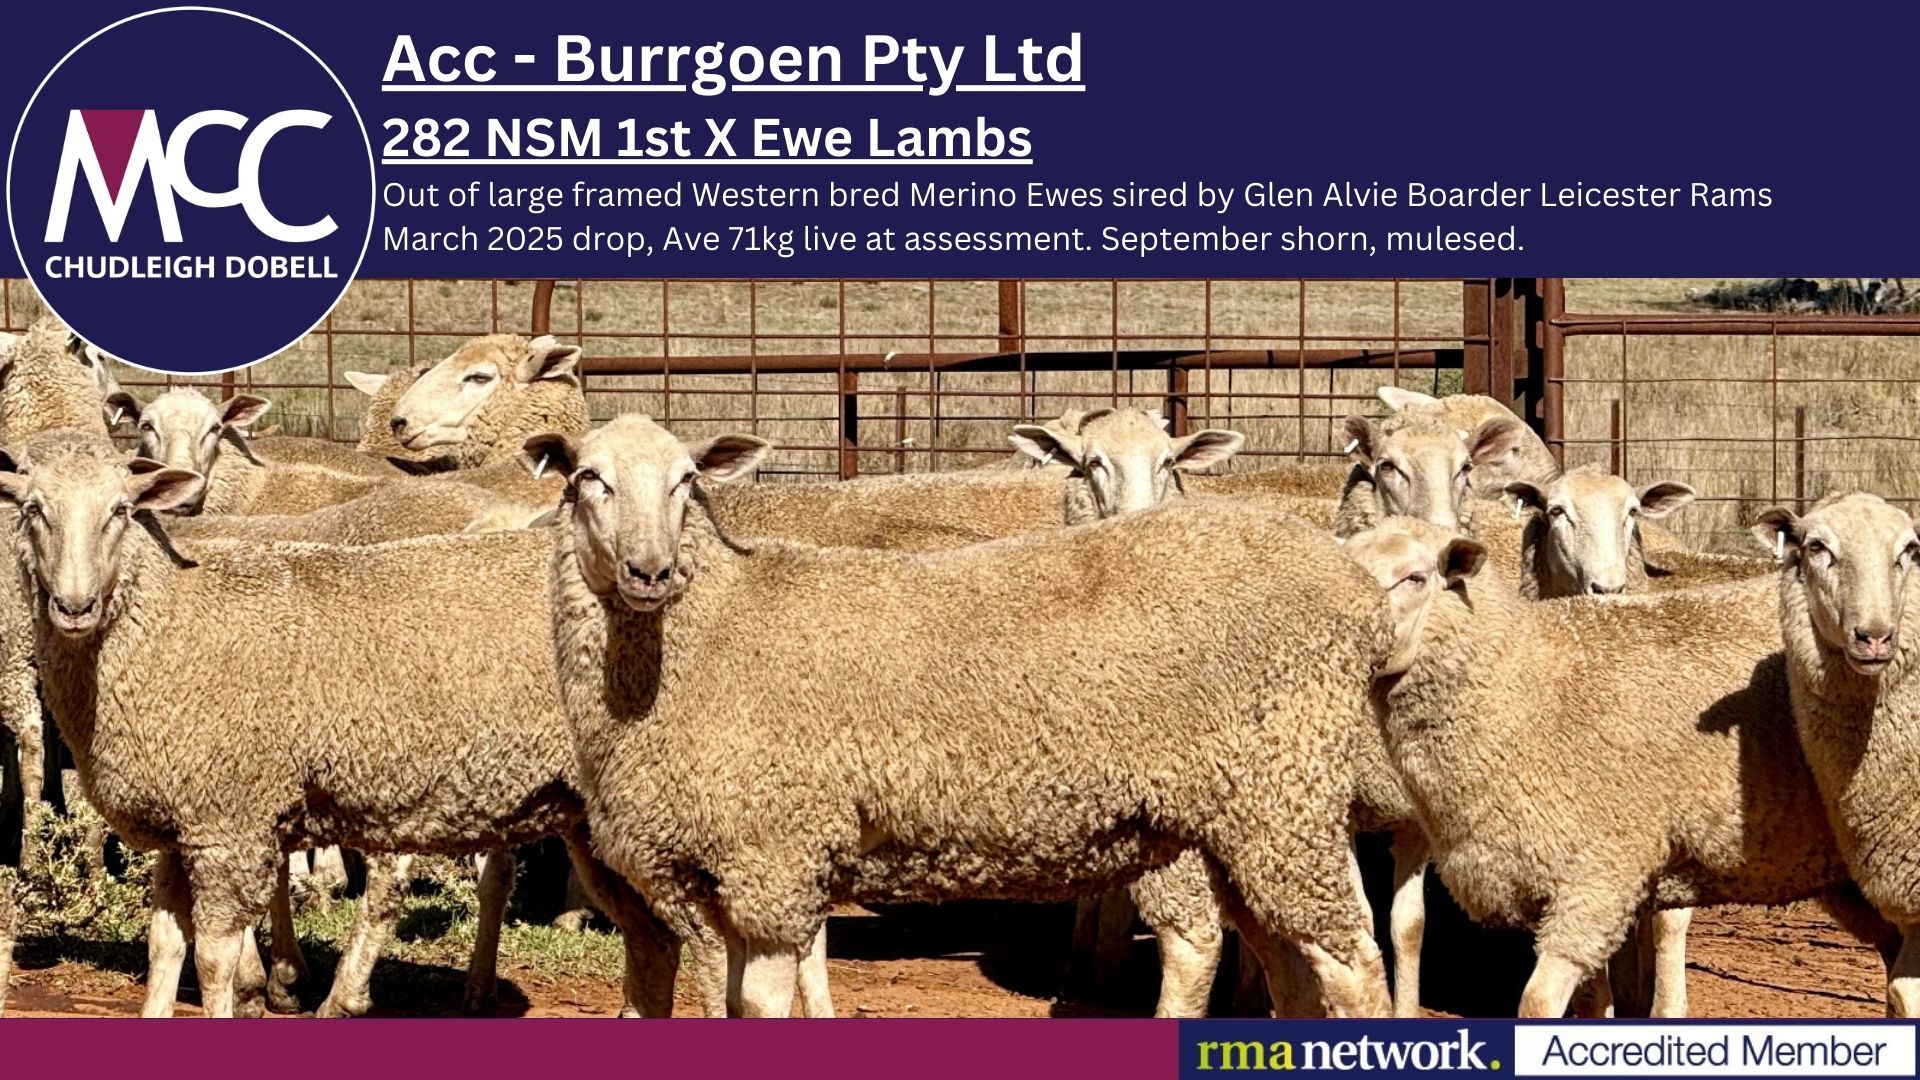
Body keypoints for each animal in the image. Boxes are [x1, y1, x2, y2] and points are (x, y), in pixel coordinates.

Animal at [2, 433, 694, 1019]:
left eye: (120, 510)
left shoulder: (227, 820)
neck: (167, 619)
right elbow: (164, 949)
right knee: (654, 943)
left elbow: (214, 959)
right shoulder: (185, 825)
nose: (74, 605)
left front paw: (258, 990)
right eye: (33, 509)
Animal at [532, 414, 1396, 1018]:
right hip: (1246, 826)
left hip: (1280, 798)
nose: (650, 570)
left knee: (1354, 964)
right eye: (588, 479)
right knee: (1292, 966)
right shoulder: (716, 874)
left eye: (686, 480)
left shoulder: (771, 857)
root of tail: (1351, 584)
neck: (705, 628)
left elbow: (761, 1002)